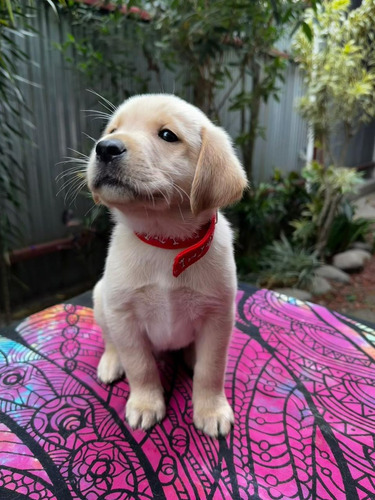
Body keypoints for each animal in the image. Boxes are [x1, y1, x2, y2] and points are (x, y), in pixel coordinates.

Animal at [86, 94, 248, 438]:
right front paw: (146, 404)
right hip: (101, 298)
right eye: (113, 130)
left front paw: (211, 409)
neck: (165, 242)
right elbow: (141, 366)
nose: (105, 147)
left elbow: (211, 370)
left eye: (167, 135)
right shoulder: (124, 315)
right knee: (110, 340)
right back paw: (111, 362)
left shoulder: (218, 317)